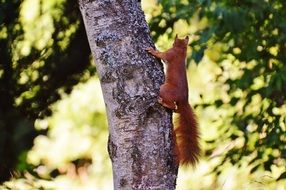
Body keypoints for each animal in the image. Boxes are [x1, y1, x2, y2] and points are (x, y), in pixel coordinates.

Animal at [146, 35, 200, 166]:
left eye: (174, 42)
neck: (180, 51)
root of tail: (184, 100)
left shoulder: (170, 54)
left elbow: (162, 55)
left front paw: (153, 51)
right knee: (176, 109)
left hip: (164, 89)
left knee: (173, 106)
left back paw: (162, 102)